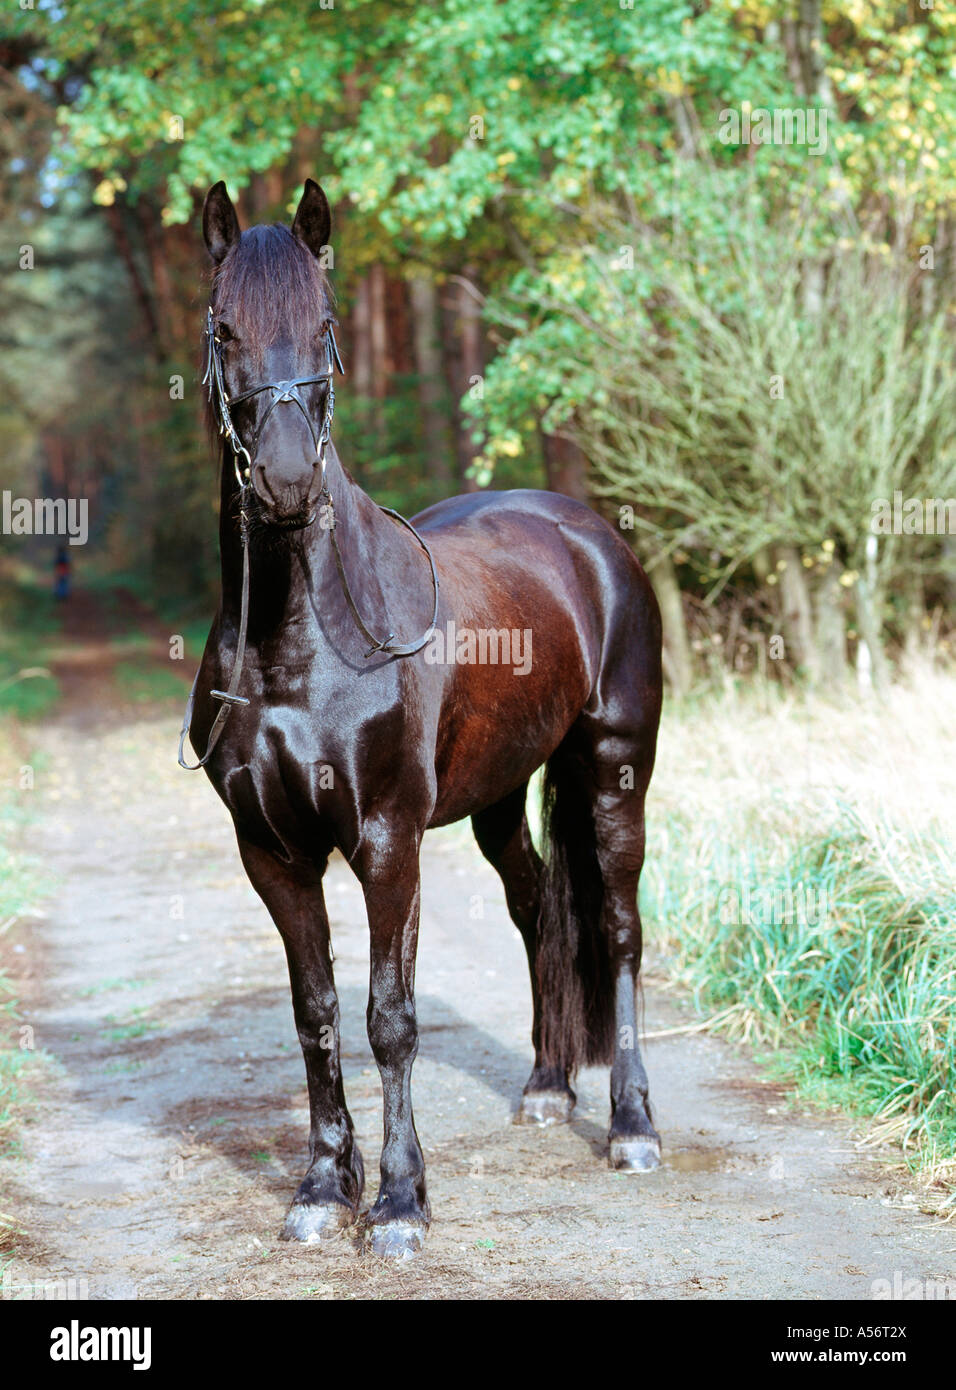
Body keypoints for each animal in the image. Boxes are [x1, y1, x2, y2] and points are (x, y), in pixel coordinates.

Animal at [179, 179, 664, 1259]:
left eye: (324, 324)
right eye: (224, 329)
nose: (284, 483)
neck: (300, 638)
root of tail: (586, 533)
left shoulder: (385, 838)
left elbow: (390, 1018)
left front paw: (399, 1204)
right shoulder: (270, 852)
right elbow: (315, 1011)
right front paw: (324, 1189)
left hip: (613, 769)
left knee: (616, 928)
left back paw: (631, 1127)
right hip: (498, 797)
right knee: (538, 906)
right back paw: (545, 1087)